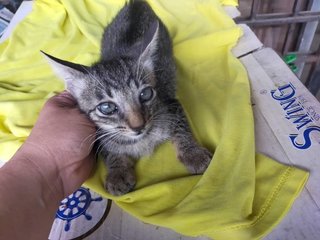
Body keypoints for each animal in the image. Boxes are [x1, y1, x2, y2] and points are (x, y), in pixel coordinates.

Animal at [42, 0, 212, 195]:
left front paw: (193, 154)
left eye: (145, 94)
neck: (141, 140)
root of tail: (135, 4)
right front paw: (118, 172)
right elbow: (110, 150)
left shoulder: (171, 103)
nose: (139, 126)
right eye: (107, 107)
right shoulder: (99, 135)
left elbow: (181, 129)